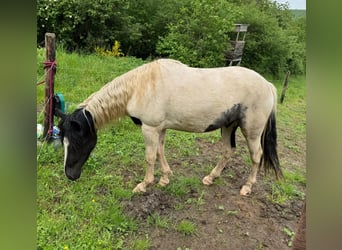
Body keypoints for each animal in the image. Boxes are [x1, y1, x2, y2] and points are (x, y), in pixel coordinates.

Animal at [56, 58, 282, 195]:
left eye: (76, 141)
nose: (70, 175)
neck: (140, 87)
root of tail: (268, 85)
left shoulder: (149, 128)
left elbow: (150, 157)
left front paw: (144, 184)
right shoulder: (160, 128)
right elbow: (160, 152)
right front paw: (165, 179)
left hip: (251, 131)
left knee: (256, 156)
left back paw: (247, 187)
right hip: (228, 126)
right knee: (228, 151)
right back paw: (210, 178)